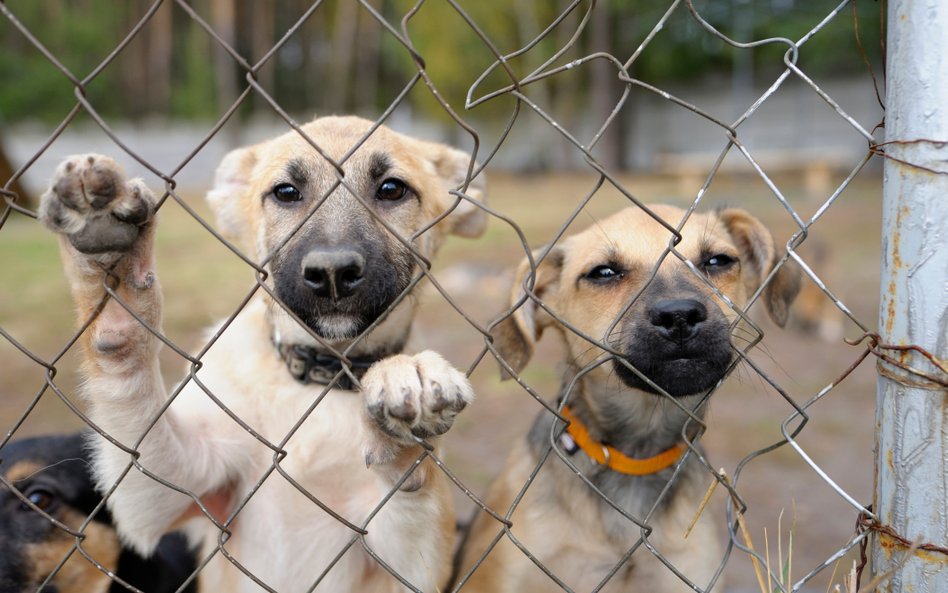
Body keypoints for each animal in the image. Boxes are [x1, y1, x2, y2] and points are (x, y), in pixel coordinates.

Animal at [39, 115, 488, 592]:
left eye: (391, 189)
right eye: (286, 192)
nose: (332, 273)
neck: (321, 377)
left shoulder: (415, 567)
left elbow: (413, 494)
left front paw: (406, 404)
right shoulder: (170, 486)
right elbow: (129, 378)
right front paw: (112, 264)